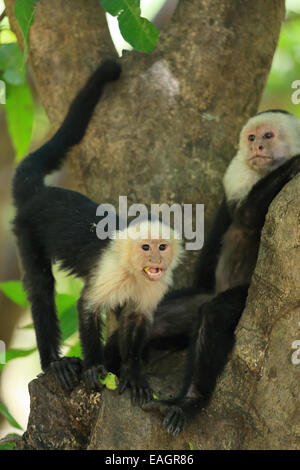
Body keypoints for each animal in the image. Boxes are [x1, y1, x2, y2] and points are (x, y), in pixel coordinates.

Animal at [11, 58, 183, 404]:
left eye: (162, 247)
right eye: (146, 247)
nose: (156, 260)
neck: (133, 270)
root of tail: (40, 193)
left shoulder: (154, 287)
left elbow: (136, 319)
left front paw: (133, 374)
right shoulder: (110, 270)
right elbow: (87, 308)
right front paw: (94, 367)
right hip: (26, 229)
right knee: (41, 287)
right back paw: (54, 363)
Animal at [142, 109, 300, 434]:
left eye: (268, 136)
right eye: (251, 137)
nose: (257, 147)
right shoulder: (237, 171)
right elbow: (246, 214)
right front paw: (295, 165)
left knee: (213, 315)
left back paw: (188, 401)